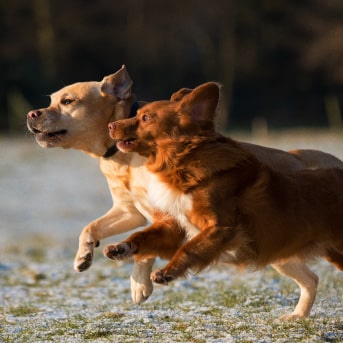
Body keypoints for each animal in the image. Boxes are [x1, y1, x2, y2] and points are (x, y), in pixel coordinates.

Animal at [106, 82, 342, 318]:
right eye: (136, 114)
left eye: (145, 118)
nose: (110, 125)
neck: (181, 165)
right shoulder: (175, 227)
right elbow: (143, 236)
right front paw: (120, 248)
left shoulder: (222, 227)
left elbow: (190, 248)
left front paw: (167, 272)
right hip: (285, 256)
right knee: (311, 279)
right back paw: (297, 316)